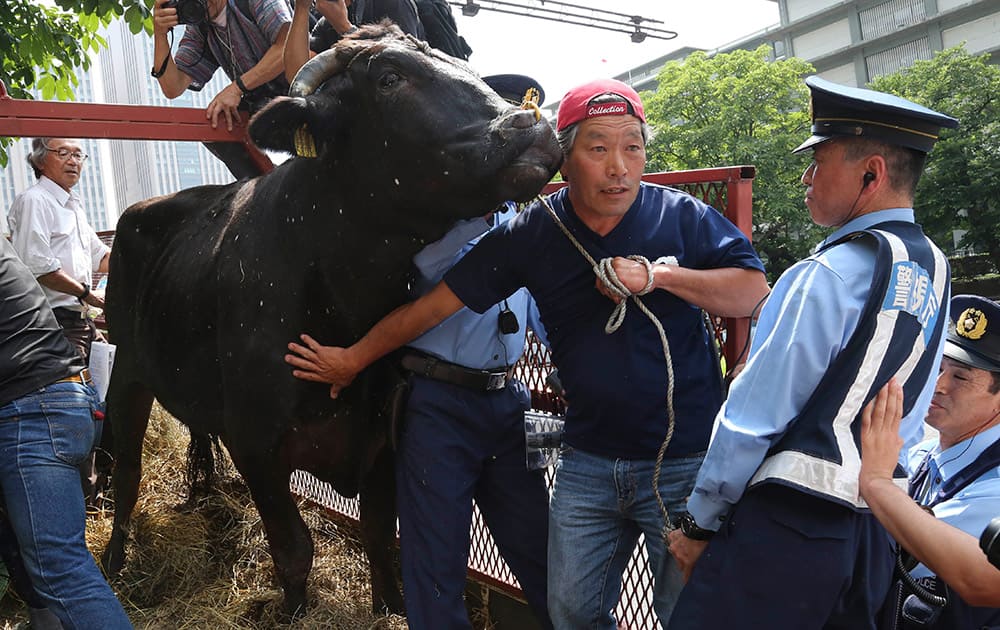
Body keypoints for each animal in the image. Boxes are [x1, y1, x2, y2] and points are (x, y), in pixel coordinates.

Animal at [103, 24, 564, 616]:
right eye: (389, 78)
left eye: (474, 73)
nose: (533, 128)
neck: (346, 304)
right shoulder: (256, 443)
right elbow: (293, 548)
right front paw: (291, 610)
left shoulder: (384, 439)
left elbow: (379, 534)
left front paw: (390, 606)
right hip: (126, 366)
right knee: (126, 470)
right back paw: (115, 558)